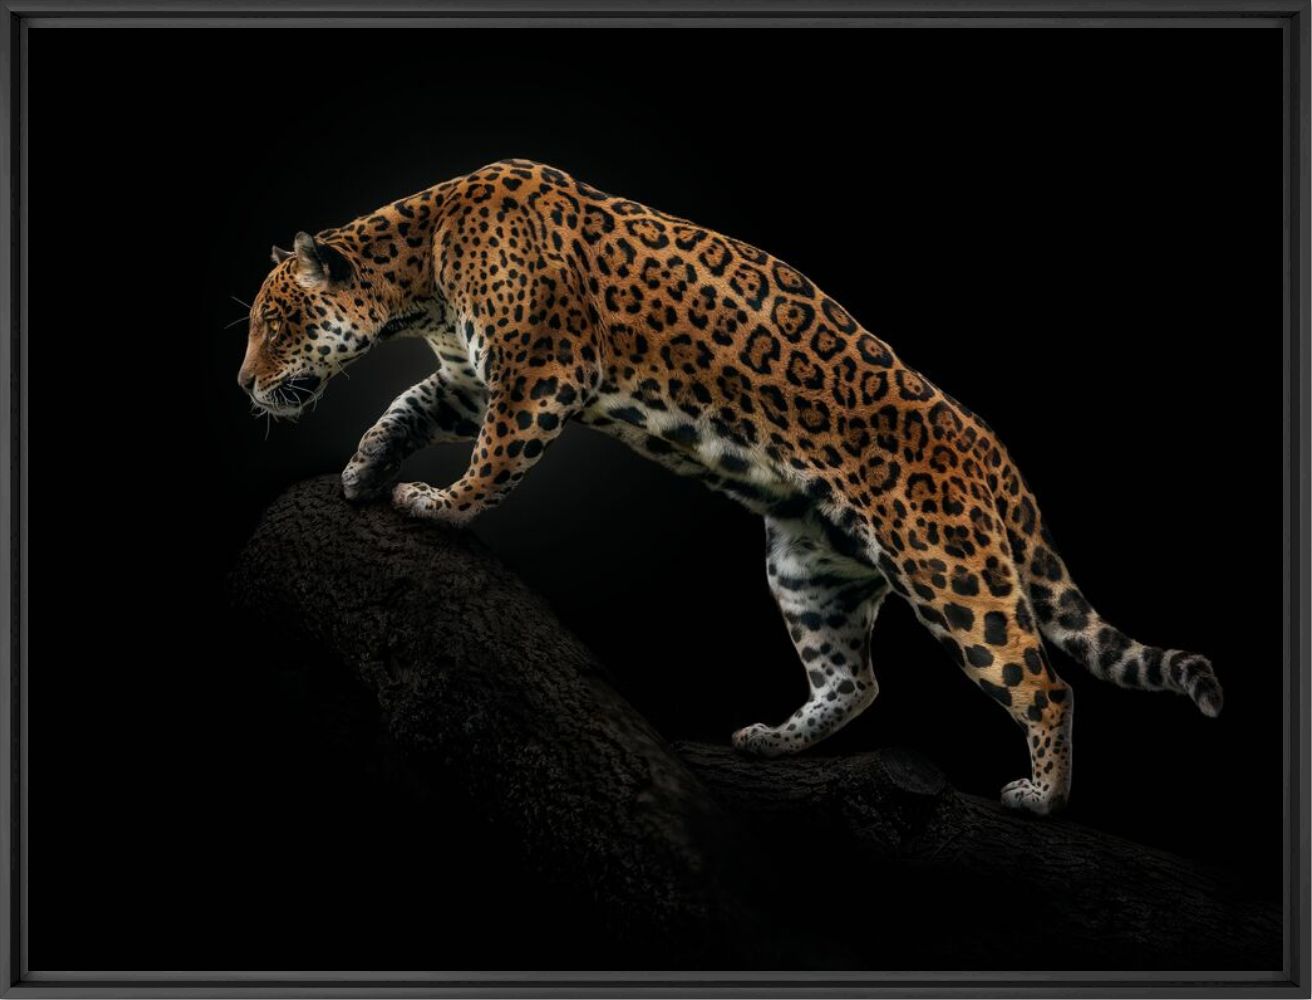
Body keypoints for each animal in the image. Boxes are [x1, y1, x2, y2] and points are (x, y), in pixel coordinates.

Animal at [236, 159, 1222, 816]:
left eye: (276, 321)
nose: (243, 385)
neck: (421, 269)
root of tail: (997, 459)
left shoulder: (540, 374)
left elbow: (493, 463)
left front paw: (439, 507)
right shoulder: (473, 380)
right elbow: (402, 405)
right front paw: (365, 467)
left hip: (951, 569)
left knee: (1042, 682)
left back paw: (1042, 797)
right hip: (810, 568)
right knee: (856, 681)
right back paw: (772, 741)